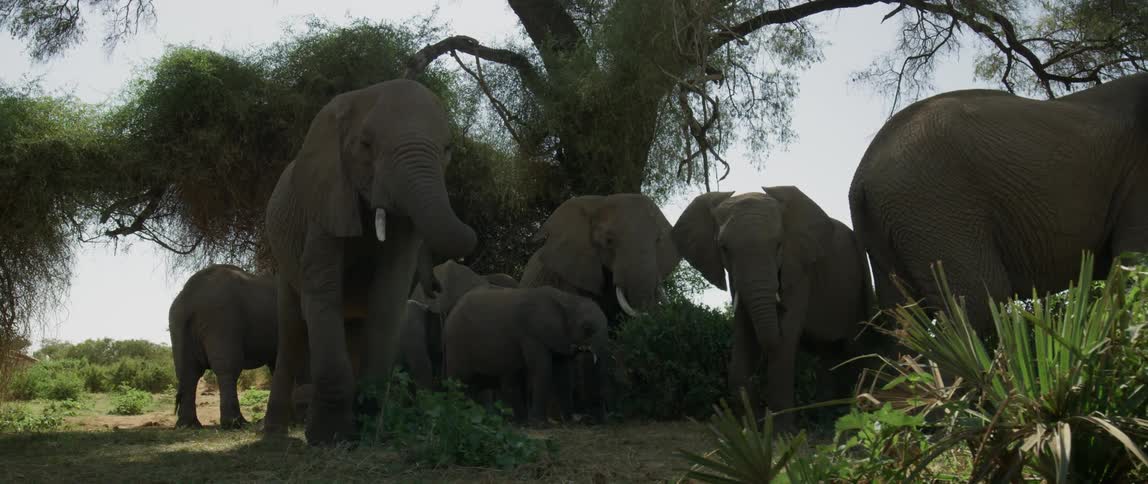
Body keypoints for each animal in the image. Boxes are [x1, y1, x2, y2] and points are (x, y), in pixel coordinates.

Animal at [169, 264, 277, 429]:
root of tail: (189, 296)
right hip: (222, 319)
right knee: (228, 367)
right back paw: (235, 424)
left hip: (177, 322)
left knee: (187, 371)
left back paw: (188, 425)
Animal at [262, 78, 477, 445]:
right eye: (365, 144)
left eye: (448, 149)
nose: (437, 287)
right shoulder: (326, 202)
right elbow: (322, 291)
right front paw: (329, 437)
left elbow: (388, 296)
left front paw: (370, 431)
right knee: (291, 330)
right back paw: (273, 434)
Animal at [441, 286, 607, 424]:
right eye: (587, 328)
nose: (592, 421)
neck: (568, 299)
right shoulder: (531, 333)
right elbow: (542, 369)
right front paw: (540, 425)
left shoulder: (558, 338)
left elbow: (563, 374)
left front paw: (569, 422)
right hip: (456, 343)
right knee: (459, 381)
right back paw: (457, 415)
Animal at [672, 188, 880, 429]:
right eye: (723, 248)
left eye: (779, 244)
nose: (763, 413)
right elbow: (743, 334)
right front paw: (752, 429)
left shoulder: (799, 267)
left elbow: (785, 339)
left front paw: (782, 433)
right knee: (829, 354)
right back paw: (826, 417)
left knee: (856, 348)